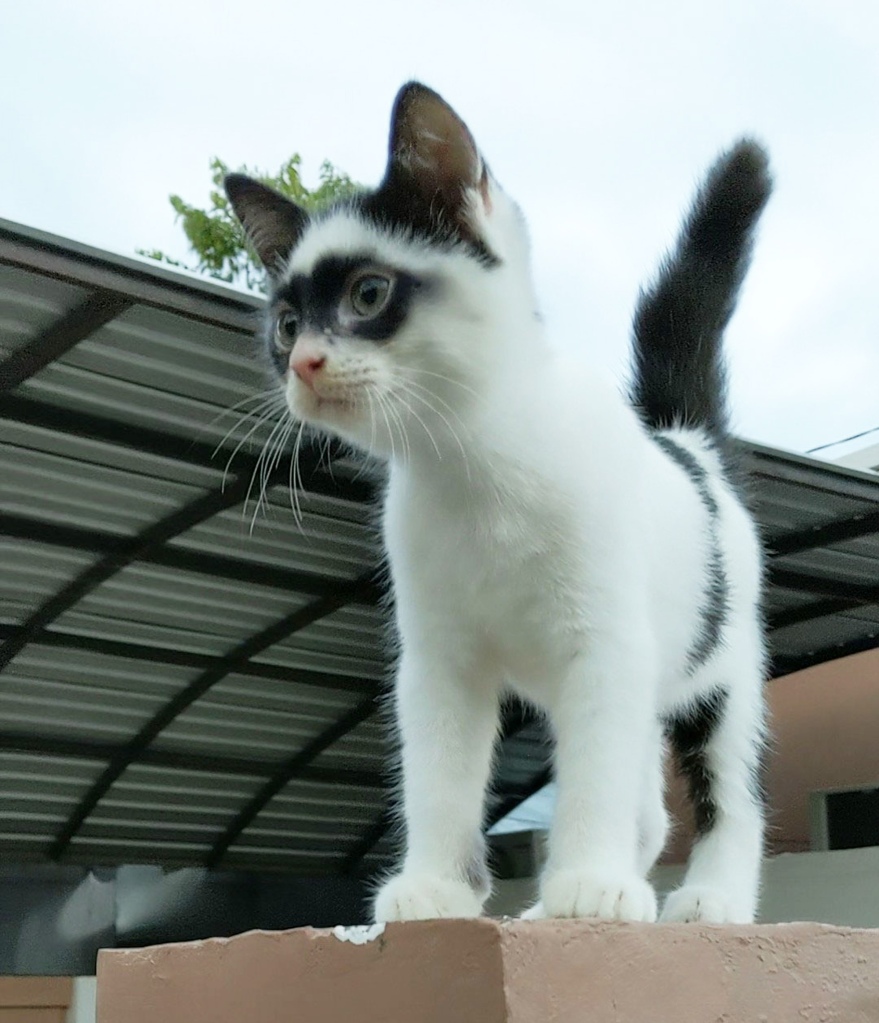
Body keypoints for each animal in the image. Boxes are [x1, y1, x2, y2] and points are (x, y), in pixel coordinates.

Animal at [225, 81, 769, 928]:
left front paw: (590, 881)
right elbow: (440, 772)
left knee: (727, 790)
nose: (304, 362)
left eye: (368, 293)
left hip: (721, 663)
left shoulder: (605, 642)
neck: (473, 469)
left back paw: (708, 897)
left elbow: (598, 771)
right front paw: (436, 886)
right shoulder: (437, 657)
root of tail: (687, 443)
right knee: (648, 803)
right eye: (285, 325)